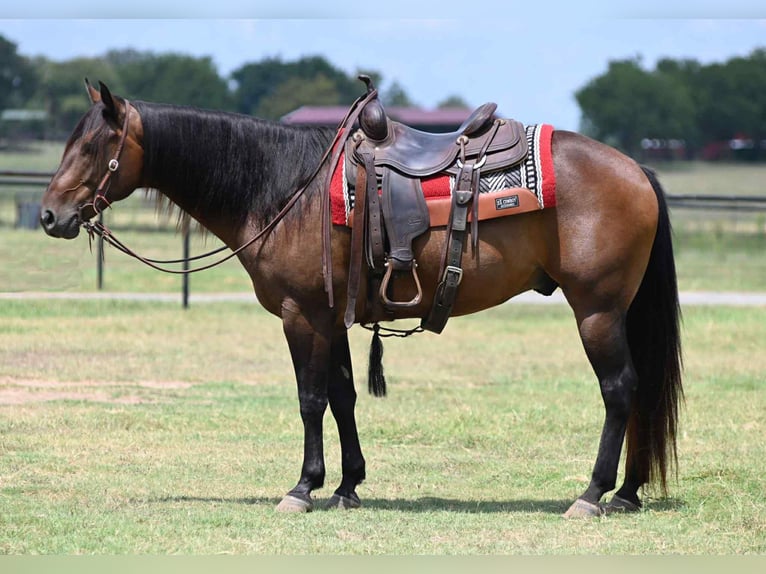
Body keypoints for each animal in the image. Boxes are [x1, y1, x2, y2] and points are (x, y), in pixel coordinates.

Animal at [39, 80, 683, 518]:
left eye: (92, 147)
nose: (50, 215)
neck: (286, 189)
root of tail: (636, 169)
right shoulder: (333, 317)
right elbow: (343, 397)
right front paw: (348, 485)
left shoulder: (302, 316)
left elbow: (309, 399)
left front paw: (303, 487)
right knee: (639, 390)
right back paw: (627, 493)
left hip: (596, 310)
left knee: (619, 389)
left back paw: (593, 494)